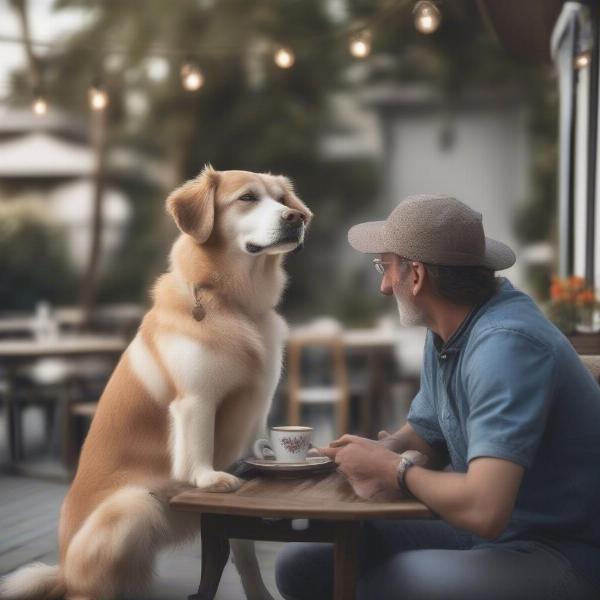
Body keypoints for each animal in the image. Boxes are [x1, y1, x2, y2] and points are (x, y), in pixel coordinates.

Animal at [2, 165, 314, 600]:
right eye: (247, 198)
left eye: (282, 200)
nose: (296, 218)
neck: (234, 304)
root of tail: (64, 568)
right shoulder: (196, 399)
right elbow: (198, 444)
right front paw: (208, 478)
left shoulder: (259, 405)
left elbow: (246, 551)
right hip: (134, 506)